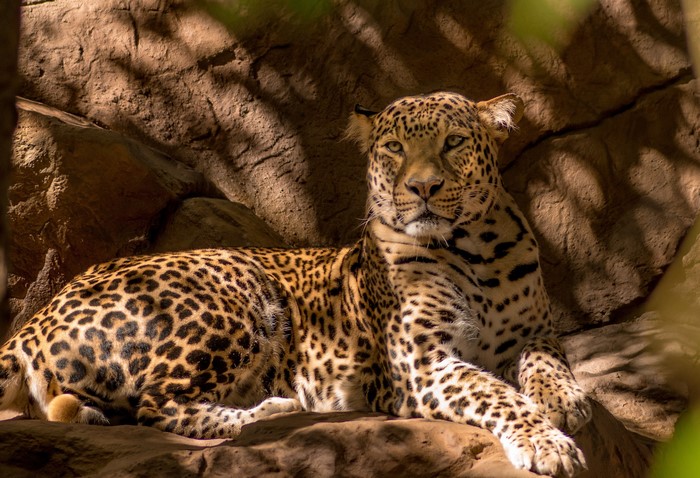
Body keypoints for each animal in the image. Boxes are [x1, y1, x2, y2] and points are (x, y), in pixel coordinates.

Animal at [0, 92, 591, 476]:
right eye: (394, 149)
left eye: (453, 142)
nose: (422, 187)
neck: (475, 250)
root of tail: (38, 316)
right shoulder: (422, 365)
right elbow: (495, 393)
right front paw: (548, 442)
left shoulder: (535, 332)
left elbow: (546, 362)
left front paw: (567, 401)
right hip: (235, 289)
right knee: (157, 406)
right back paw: (276, 410)